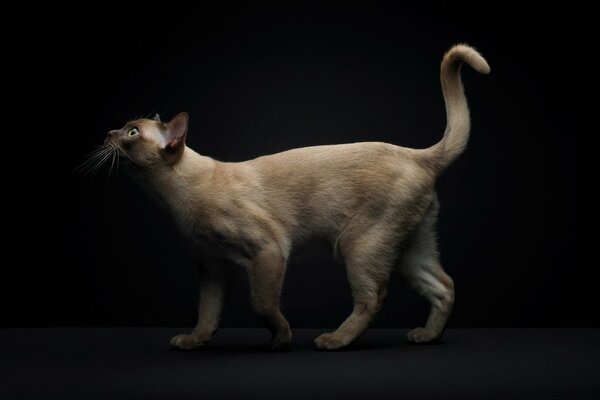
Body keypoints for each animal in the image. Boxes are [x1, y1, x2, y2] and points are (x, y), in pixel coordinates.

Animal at [89, 43, 490, 350]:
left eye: (132, 132)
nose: (108, 133)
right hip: (408, 248)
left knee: (374, 296)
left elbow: (262, 304)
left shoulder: (268, 249)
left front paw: (281, 338)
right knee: (444, 285)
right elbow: (207, 312)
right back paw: (427, 336)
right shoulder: (213, 267)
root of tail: (417, 154)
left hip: (361, 245)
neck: (172, 198)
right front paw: (194, 341)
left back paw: (335, 340)